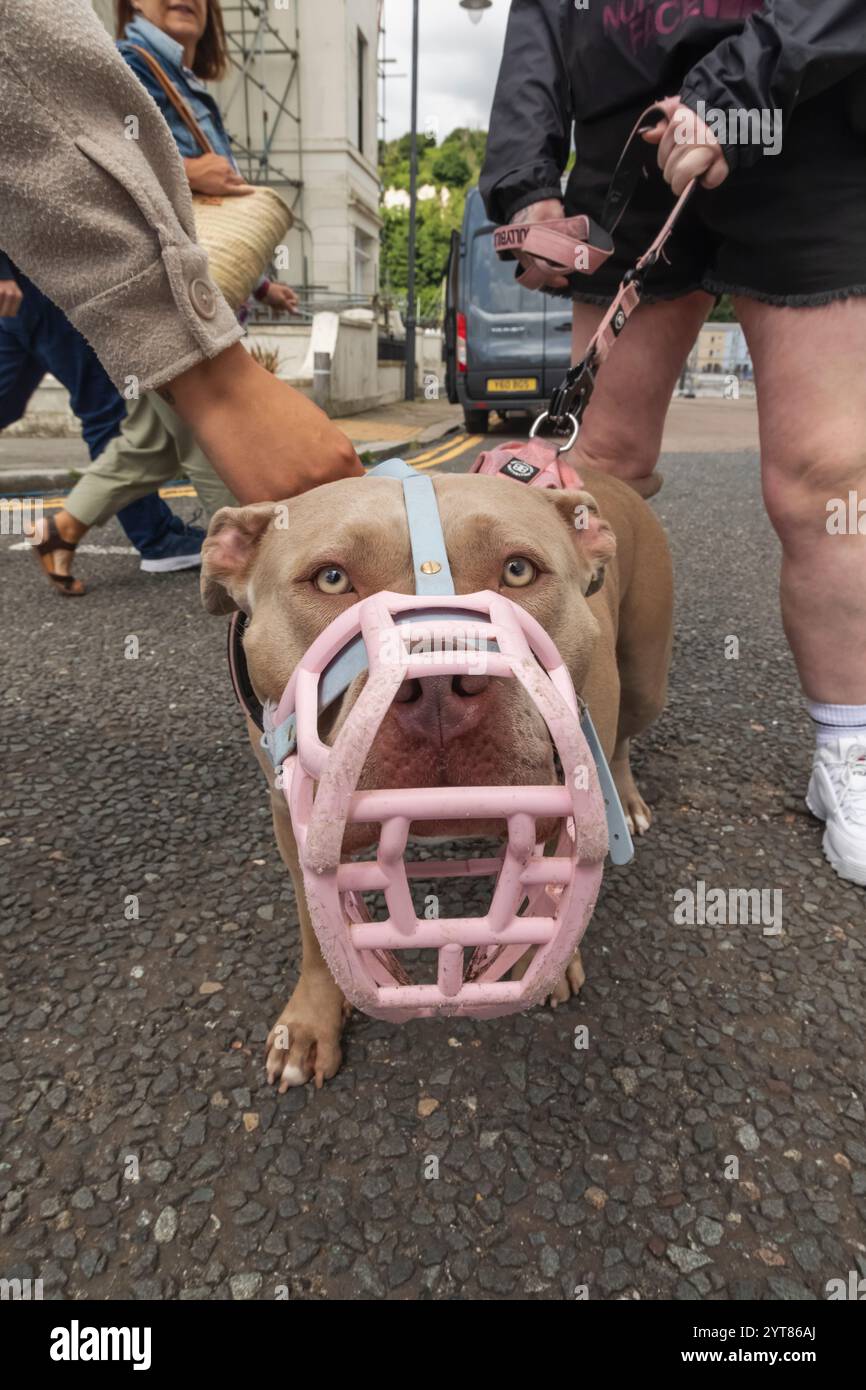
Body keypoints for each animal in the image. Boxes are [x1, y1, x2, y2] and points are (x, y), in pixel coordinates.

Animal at [200, 472, 675, 1089]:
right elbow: (316, 925)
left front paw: (538, 960)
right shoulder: (289, 820)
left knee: (622, 740)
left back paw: (630, 799)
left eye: (518, 571)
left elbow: (548, 890)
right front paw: (310, 1020)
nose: (440, 686)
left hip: (644, 679)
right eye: (331, 579)